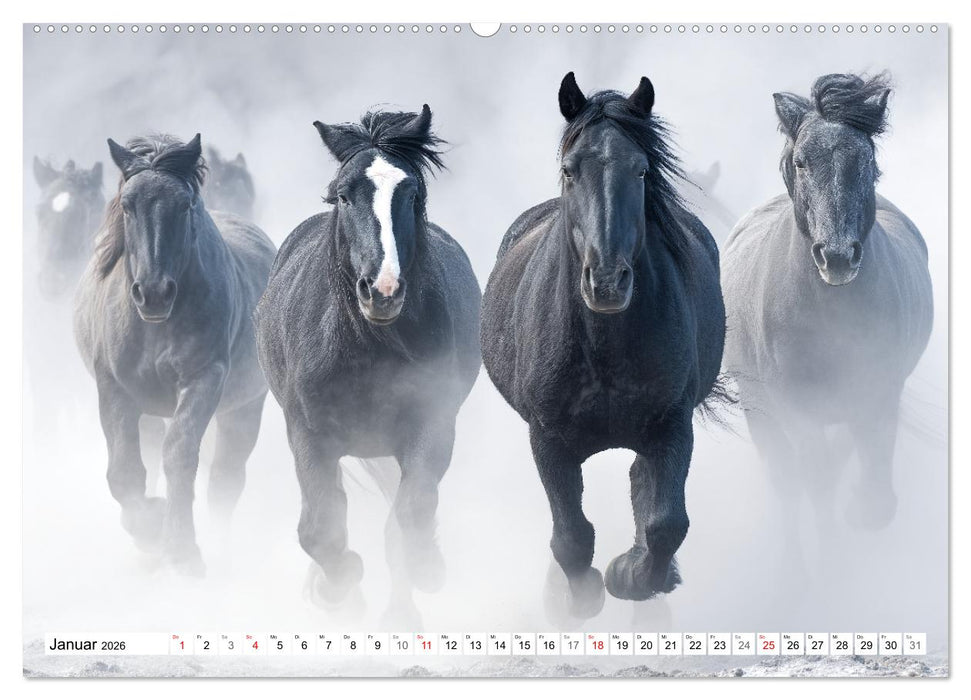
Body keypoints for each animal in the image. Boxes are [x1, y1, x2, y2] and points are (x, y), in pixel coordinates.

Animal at [74, 133, 277, 574]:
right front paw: (150, 529)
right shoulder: (114, 390)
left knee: (225, 480)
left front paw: (181, 550)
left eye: (185, 205)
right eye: (127, 205)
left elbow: (180, 456)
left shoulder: (204, 379)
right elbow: (125, 472)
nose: (153, 293)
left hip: (244, 409)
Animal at [254, 106, 480, 626]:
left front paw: (426, 571)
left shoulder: (432, 425)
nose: (382, 289)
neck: (366, 348)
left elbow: (409, 518)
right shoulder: (308, 434)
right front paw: (338, 588)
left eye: (412, 193)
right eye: (343, 193)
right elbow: (320, 526)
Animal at [480, 73, 726, 622]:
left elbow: (666, 523)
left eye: (641, 170)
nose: (608, 281)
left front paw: (631, 576)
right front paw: (583, 594)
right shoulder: (546, 438)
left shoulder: (672, 424)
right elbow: (571, 537)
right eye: (570, 170)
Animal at [721, 73, 933, 564]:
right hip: (760, 409)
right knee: (788, 480)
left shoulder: (880, 388)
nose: (836, 256)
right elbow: (812, 480)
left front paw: (863, 511)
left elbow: (872, 468)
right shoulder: (794, 406)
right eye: (801, 161)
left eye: (866, 158)